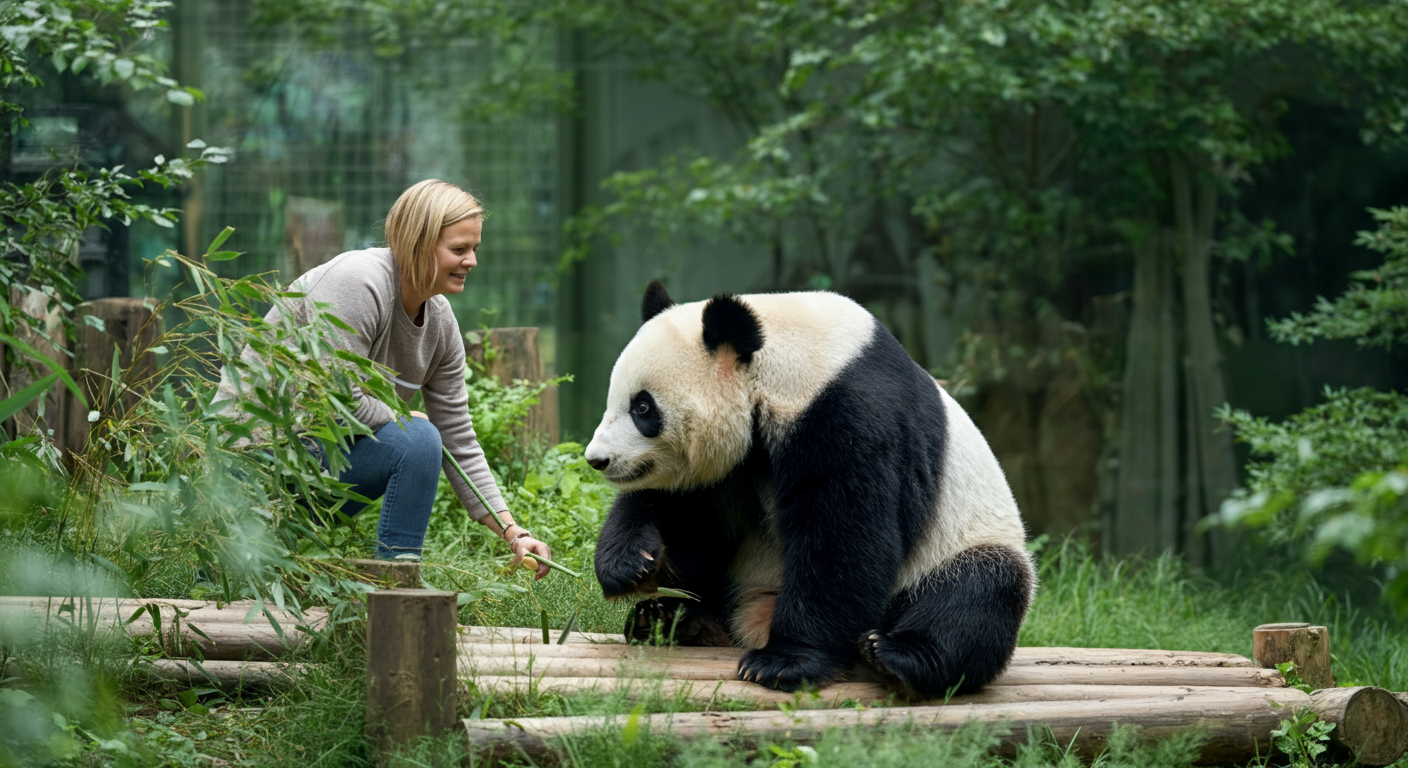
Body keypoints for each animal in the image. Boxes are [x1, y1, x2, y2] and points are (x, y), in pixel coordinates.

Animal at [585, 281, 1035, 698]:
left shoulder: (850, 414)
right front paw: (629, 563)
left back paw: (897, 657)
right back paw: (673, 620)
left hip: (960, 542)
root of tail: (754, 616)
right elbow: (684, 513)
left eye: (643, 407)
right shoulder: (730, 469)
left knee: (977, 593)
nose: (597, 459)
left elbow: (844, 537)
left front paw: (784, 663)